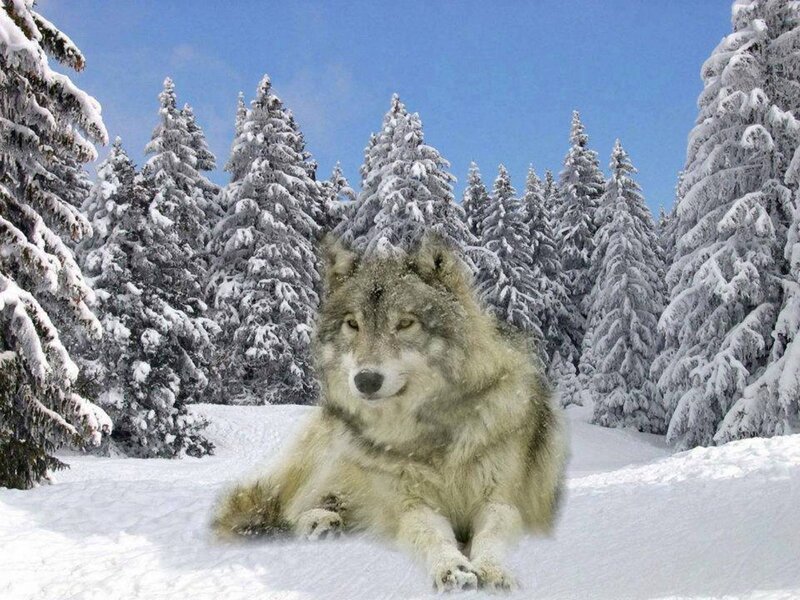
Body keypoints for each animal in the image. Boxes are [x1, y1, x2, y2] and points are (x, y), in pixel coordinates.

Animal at [212, 234, 567, 592]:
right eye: (353, 324)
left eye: (405, 323)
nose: (366, 380)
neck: (431, 433)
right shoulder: (410, 504)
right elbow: (429, 534)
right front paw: (452, 568)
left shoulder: (501, 502)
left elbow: (491, 536)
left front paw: (492, 571)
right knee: (286, 508)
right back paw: (318, 523)